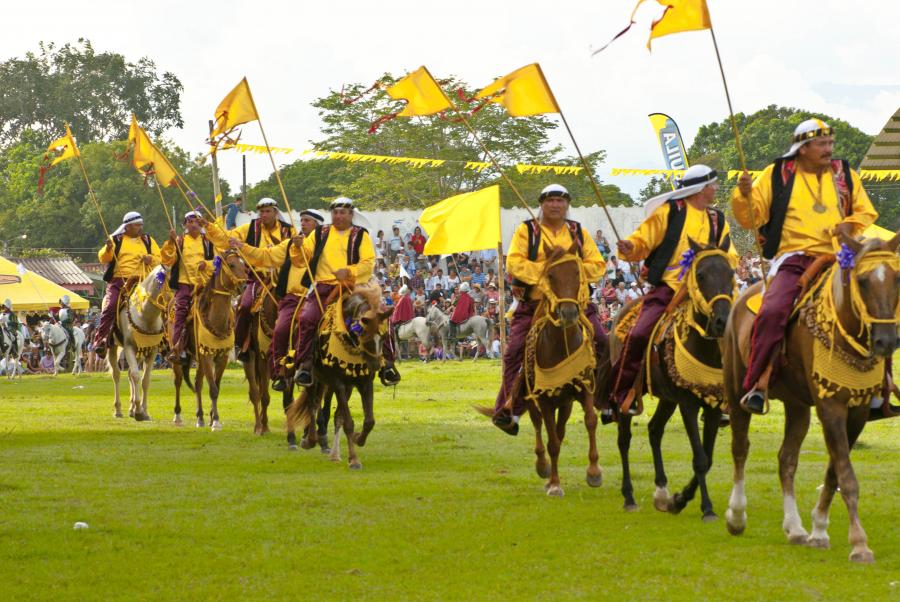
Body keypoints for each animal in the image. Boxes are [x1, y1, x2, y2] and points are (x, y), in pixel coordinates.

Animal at [107, 264, 169, 420]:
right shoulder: (129, 347)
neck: (145, 315)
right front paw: (139, 412)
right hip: (112, 347)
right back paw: (118, 410)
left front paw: (143, 411)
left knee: (129, 373)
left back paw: (131, 408)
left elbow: (145, 380)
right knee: (116, 374)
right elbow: (136, 376)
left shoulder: (151, 350)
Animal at [172, 251, 248, 428]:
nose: (245, 286)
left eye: (244, 264)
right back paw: (177, 415)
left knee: (197, 383)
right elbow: (213, 389)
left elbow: (216, 386)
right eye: (232, 264)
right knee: (178, 381)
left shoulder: (222, 356)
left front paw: (213, 416)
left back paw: (200, 417)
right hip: (178, 358)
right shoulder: (206, 356)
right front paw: (216, 422)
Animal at [284, 280, 390, 468]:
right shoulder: (338, 383)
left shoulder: (364, 383)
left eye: (384, 336)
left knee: (329, 411)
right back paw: (310, 440)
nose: (376, 365)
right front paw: (354, 460)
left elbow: (369, 421)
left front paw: (358, 439)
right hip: (313, 378)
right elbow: (348, 422)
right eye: (365, 335)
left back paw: (330, 450)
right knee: (312, 405)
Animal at [608, 239, 736, 516]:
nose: (722, 321)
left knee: (654, 430)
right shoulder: (687, 404)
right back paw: (629, 496)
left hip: (667, 398)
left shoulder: (712, 407)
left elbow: (708, 457)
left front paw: (679, 499)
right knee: (624, 440)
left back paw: (661, 491)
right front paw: (706, 508)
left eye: (731, 273)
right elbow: (700, 458)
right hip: (630, 393)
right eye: (701, 275)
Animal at [724, 231, 900, 564]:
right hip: (735, 384)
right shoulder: (830, 406)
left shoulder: (856, 411)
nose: (886, 341)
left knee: (786, 459)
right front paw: (860, 544)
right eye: (863, 280)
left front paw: (818, 530)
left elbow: (834, 472)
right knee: (740, 447)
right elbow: (846, 475)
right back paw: (736, 516)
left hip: (797, 405)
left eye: (897, 278)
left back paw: (794, 528)